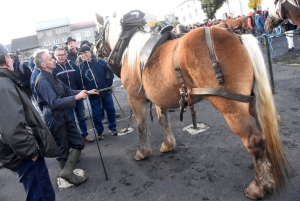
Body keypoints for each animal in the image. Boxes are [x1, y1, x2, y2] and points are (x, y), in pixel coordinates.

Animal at [95, 11, 292, 200]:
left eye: (98, 32)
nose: (95, 51)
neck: (130, 51)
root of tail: (238, 37)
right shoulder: (159, 98)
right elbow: (163, 121)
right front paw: (168, 144)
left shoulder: (135, 98)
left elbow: (141, 126)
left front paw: (142, 152)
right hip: (251, 99)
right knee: (269, 125)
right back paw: (269, 172)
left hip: (231, 105)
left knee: (254, 139)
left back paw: (259, 186)